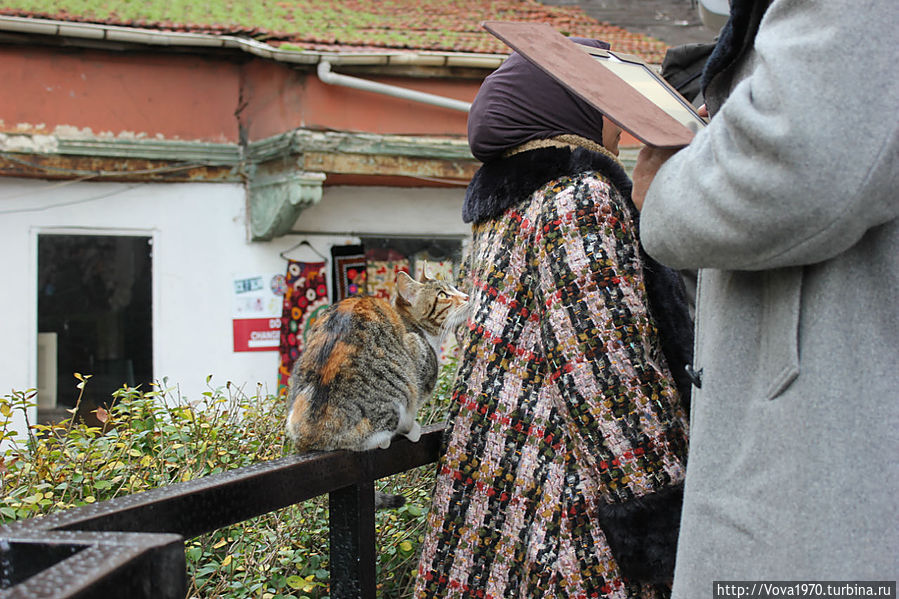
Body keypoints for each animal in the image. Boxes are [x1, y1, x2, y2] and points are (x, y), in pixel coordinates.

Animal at [286, 270, 472, 506]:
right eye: (443, 295)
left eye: (454, 288)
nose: (467, 296)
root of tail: (308, 434)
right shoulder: (418, 353)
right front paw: (413, 429)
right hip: (397, 394)